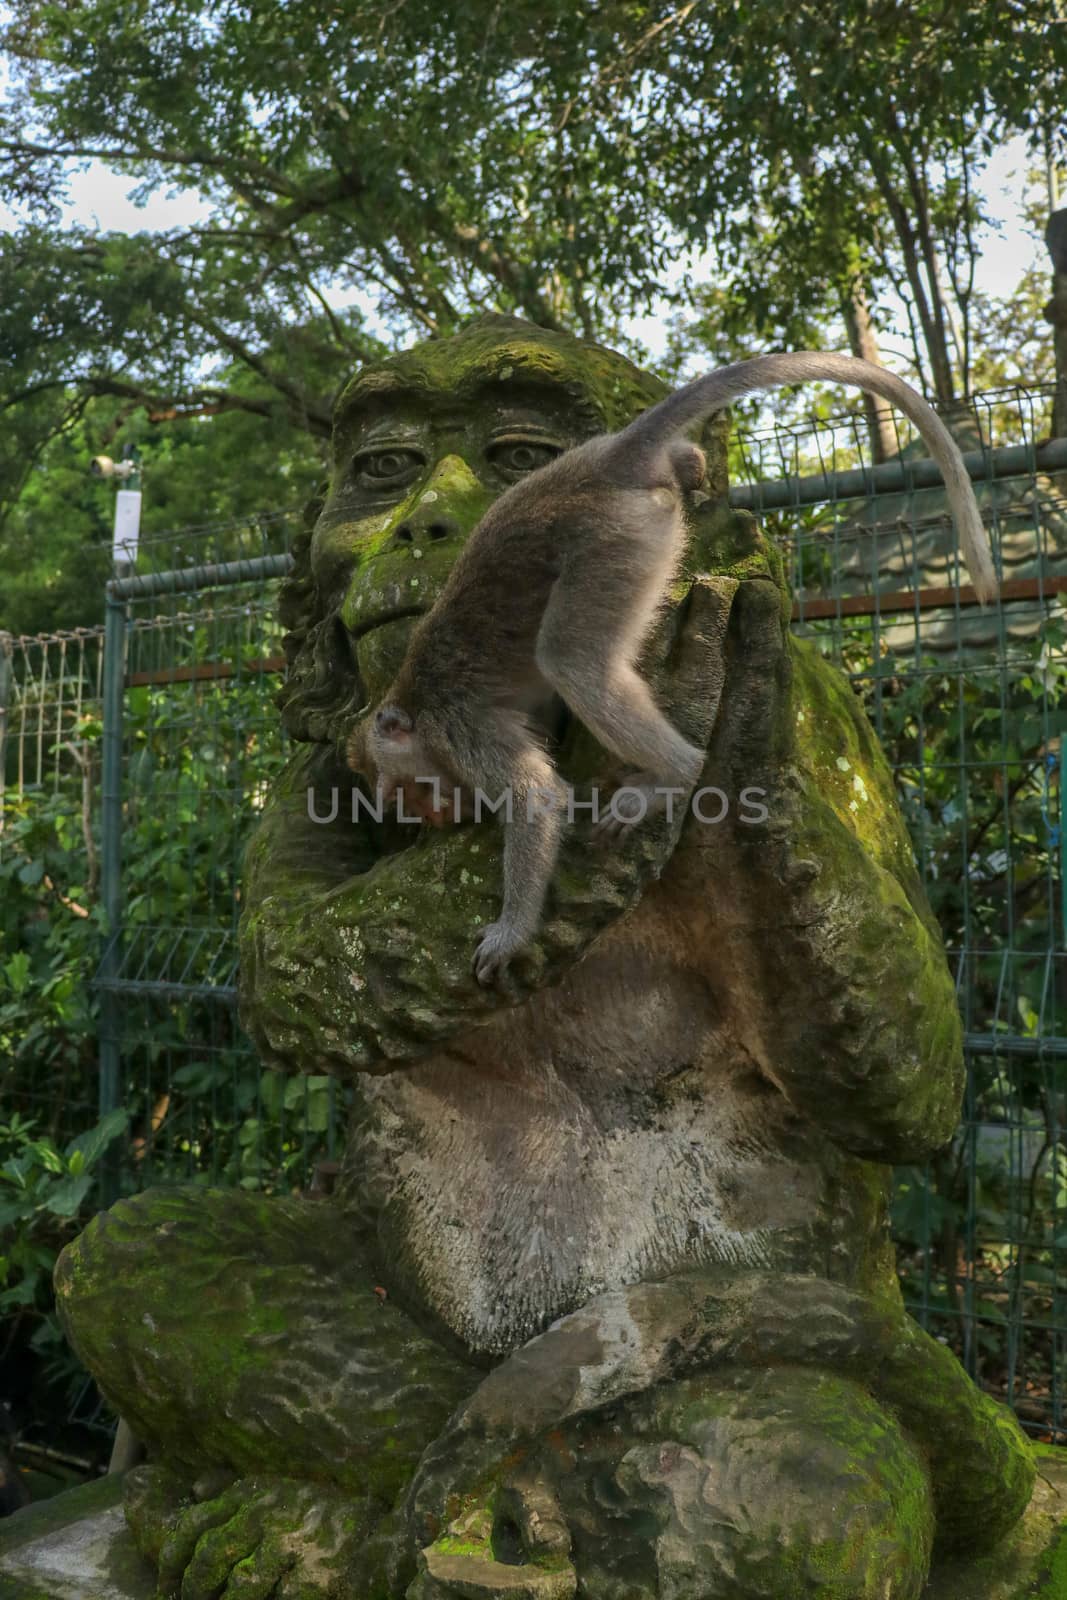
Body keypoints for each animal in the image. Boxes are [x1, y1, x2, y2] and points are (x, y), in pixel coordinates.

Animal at [347, 347, 998, 985]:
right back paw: (693, 470)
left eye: (404, 785)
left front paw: (512, 933)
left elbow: (539, 797)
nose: (426, 812)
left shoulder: (462, 727)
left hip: (617, 544)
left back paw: (674, 776)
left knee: (573, 660)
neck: (414, 702)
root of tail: (610, 460)